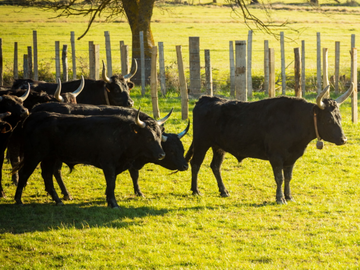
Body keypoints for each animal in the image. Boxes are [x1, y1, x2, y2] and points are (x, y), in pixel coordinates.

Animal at [186, 85, 354, 204]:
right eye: (328, 119)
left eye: (339, 117)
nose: (343, 139)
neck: (294, 121)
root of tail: (204, 99)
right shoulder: (276, 157)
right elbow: (279, 178)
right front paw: (280, 198)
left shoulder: (291, 158)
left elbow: (288, 177)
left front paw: (289, 196)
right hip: (201, 142)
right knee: (195, 164)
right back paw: (196, 190)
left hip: (219, 147)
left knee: (215, 166)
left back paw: (224, 191)